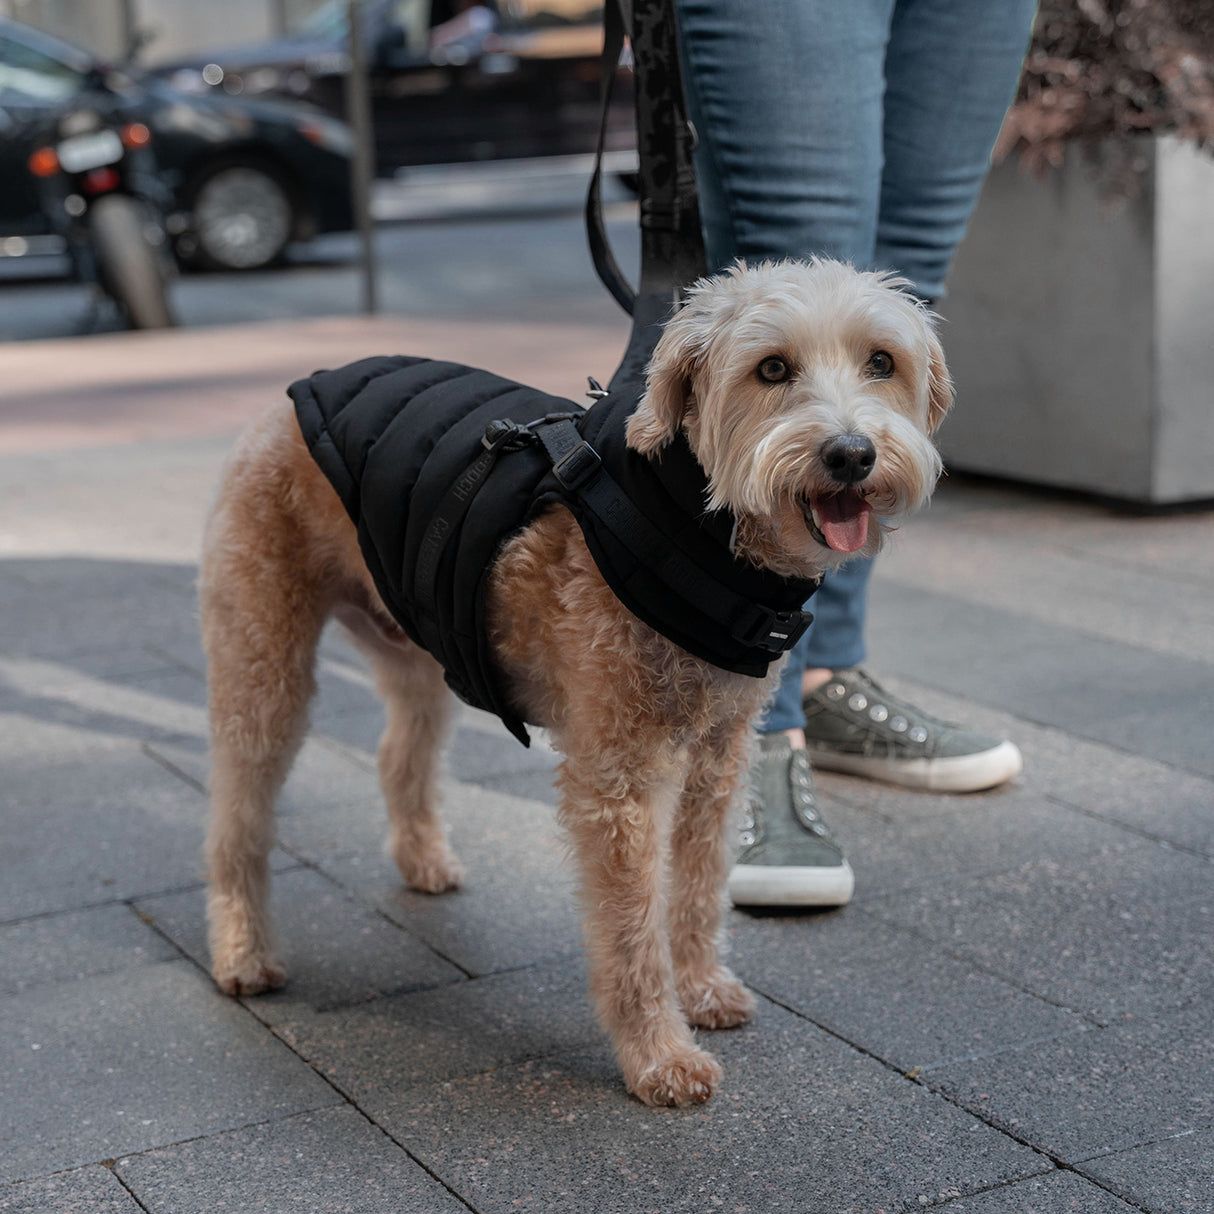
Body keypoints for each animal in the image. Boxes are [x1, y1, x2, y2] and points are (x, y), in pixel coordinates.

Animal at [199, 258, 951, 1112]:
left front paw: (704, 989)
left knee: (399, 757)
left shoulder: (719, 758)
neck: (692, 523)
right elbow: (632, 928)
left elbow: (698, 888)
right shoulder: (617, 777)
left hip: (416, 644)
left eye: (881, 362)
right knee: (236, 819)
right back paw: (242, 952)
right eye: (771, 369)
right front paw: (660, 1057)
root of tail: (295, 393)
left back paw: (424, 863)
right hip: (265, 665)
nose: (851, 455)